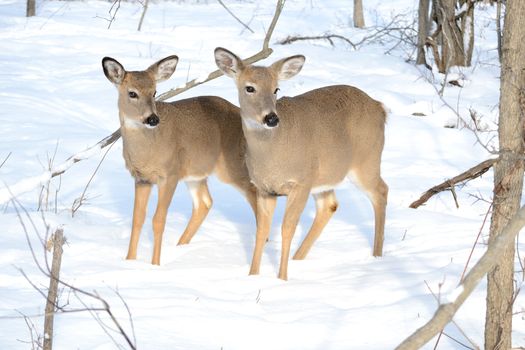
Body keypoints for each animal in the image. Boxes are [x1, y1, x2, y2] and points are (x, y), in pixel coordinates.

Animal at [101, 54, 255, 264]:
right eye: (132, 93)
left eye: (155, 92)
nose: (152, 119)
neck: (147, 151)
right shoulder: (141, 178)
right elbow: (137, 219)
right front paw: (130, 261)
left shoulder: (170, 174)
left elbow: (158, 220)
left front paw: (155, 264)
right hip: (196, 174)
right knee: (205, 203)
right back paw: (181, 246)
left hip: (233, 167)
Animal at [213, 47, 388, 280]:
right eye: (249, 88)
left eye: (276, 89)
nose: (271, 118)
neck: (272, 156)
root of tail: (380, 107)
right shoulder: (264, 189)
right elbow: (261, 230)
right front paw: (253, 276)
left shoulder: (300, 182)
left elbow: (287, 229)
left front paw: (282, 278)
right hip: (325, 175)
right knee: (330, 204)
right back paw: (299, 258)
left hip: (366, 160)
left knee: (381, 191)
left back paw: (377, 256)